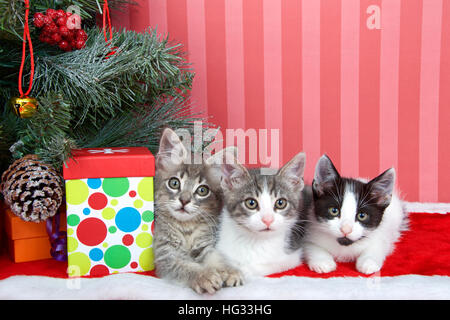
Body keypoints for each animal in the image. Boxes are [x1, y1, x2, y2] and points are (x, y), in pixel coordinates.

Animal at [153, 129, 243, 294]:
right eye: (174, 183)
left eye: (202, 190)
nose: (184, 200)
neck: (186, 228)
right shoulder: (166, 254)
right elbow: (185, 267)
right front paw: (204, 275)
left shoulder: (204, 245)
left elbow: (217, 258)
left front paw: (230, 271)